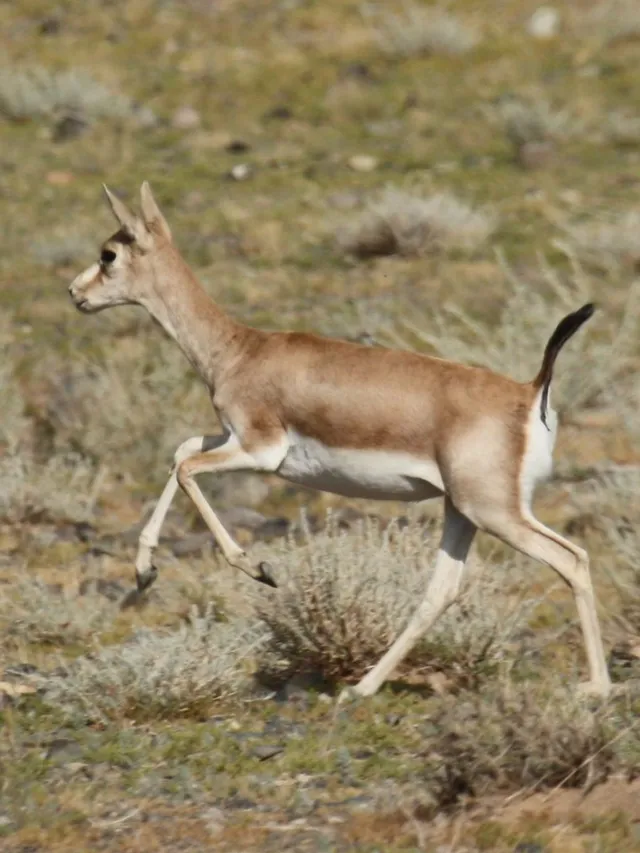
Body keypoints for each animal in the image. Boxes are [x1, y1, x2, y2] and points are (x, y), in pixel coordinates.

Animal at [68, 182, 612, 699]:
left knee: (572, 560)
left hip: (494, 512)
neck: (239, 350)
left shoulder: (260, 452)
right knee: (442, 591)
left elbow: (185, 469)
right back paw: (362, 688)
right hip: (462, 511)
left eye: (108, 254)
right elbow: (181, 451)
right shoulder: (231, 437)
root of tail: (530, 392)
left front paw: (259, 569)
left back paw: (598, 687)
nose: (75, 293)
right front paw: (144, 572)